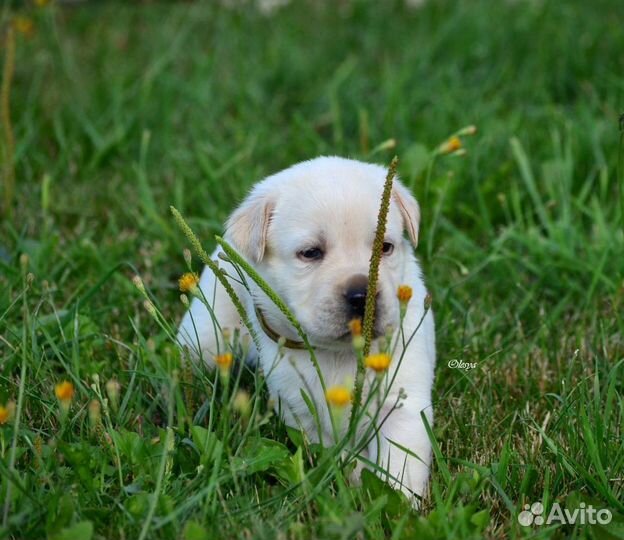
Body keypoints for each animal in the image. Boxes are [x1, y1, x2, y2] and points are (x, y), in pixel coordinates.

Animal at [178, 157, 436, 506]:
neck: (340, 353)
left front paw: (394, 502)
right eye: (311, 253)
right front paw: (352, 479)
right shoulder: (301, 411)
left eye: (385, 247)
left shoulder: (402, 402)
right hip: (207, 332)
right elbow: (333, 452)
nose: (362, 294)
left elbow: (399, 464)